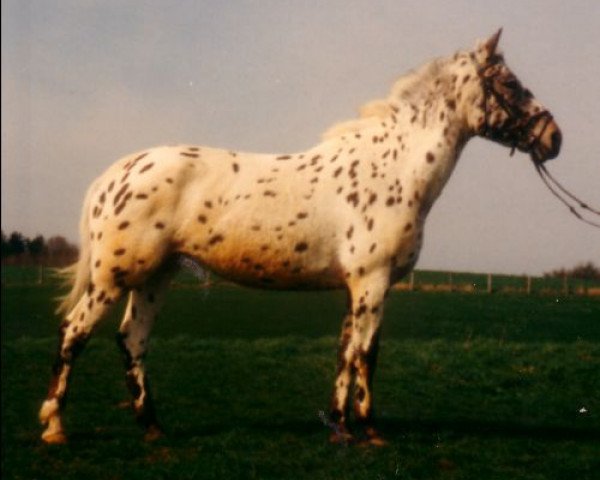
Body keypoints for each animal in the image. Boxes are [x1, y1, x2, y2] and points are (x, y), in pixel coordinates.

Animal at [38, 30, 564, 446]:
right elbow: (366, 354)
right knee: (74, 334)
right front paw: (369, 430)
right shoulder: (372, 283)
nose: (554, 138)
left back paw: (153, 427)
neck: (394, 169)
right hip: (114, 277)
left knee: (132, 340)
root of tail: (116, 174)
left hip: (155, 277)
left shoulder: (358, 288)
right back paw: (55, 427)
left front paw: (339, 425)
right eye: (510, 83)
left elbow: (345, 352)